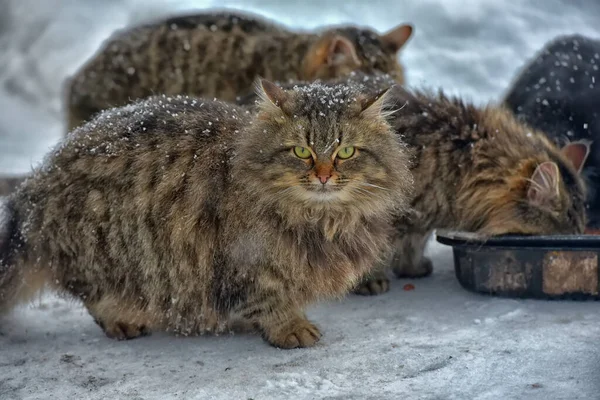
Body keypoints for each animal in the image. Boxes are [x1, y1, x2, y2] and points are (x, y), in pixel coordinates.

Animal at [0, 79, 412, 346]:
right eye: (301, 151)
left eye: (346, 152)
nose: (324, 175)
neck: (322, 220)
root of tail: (33, 188)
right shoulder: (244, 261)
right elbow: (269, 301)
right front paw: (288, 328)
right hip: (104, 249)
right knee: (93, 296)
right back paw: (124, 321)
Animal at [247, 72, 584, 294]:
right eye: (568, 229)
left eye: (581, 229)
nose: (579, 236)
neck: (464, 159)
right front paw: (370, 280)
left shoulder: (419, 216)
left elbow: (413, 243)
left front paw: (412, 268)